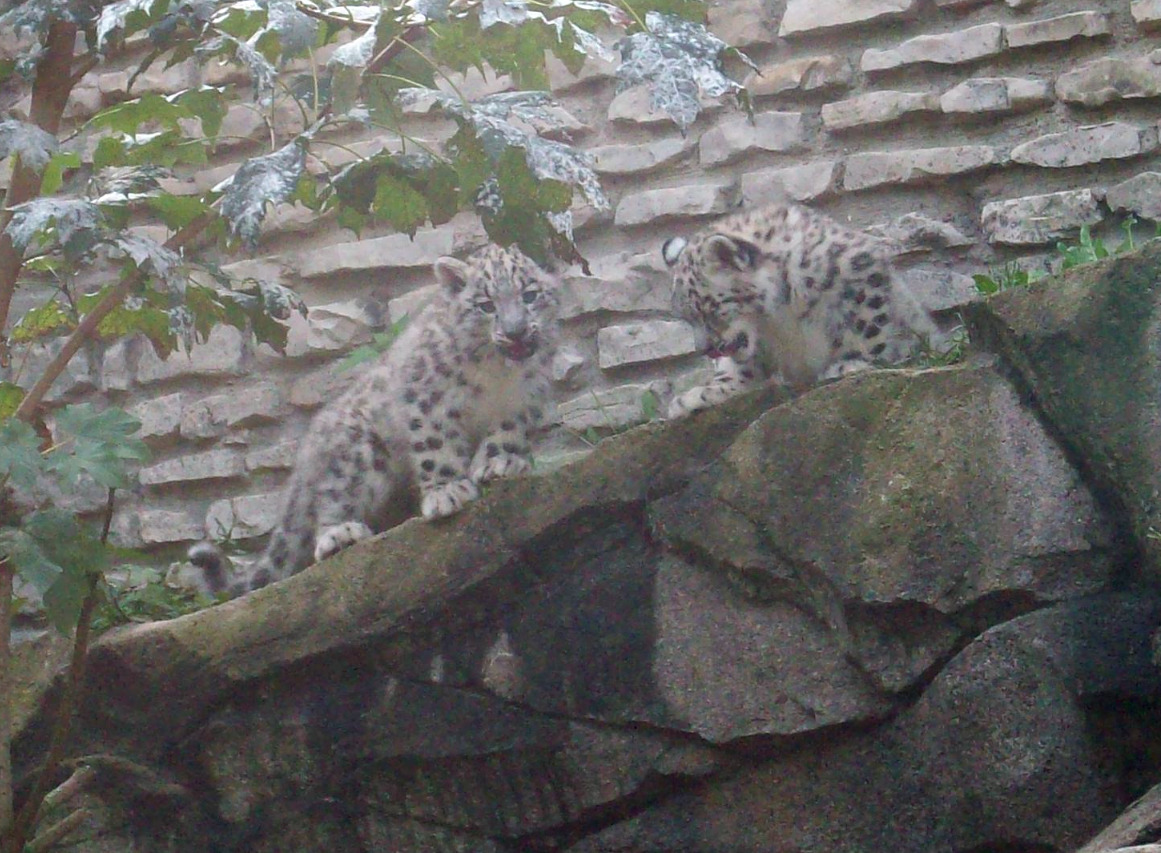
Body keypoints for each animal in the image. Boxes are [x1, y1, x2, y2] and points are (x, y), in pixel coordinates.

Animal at [189, 244, 560, 597]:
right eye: (485, 304)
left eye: (530, 294)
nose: (515, 331)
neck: (499, 375)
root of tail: (305, 461)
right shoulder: (426, 397)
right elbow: (436, 446)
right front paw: (447, 491)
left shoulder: (527, 398)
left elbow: (508, 432)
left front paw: (500, 462)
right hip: (357, 452)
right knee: (330, 501)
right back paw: (341, 533)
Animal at [662, 202, 938, 418]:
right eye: (686, 318)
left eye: (710, 308)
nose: (706, 349)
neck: (777, 318)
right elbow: (741, 369)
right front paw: (699, 395)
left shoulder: (859, 274)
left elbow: (868, 324)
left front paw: (854, 363)